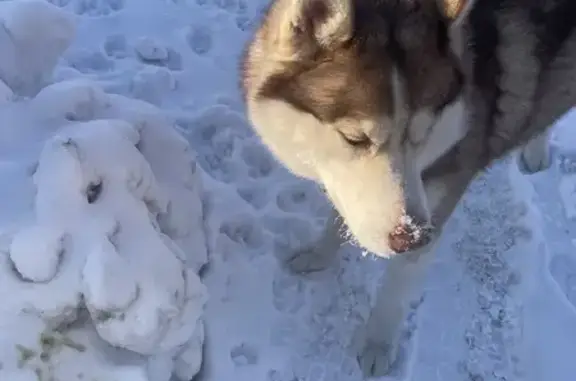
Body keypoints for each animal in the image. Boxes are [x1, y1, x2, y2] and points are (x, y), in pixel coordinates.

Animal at [241, 0, 572, 376]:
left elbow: (395, 293)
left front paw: (378, 344)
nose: (412, 237)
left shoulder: (438, 199)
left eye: (422, 135)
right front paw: (319, 253)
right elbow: (341, 215)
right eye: (355, 138)